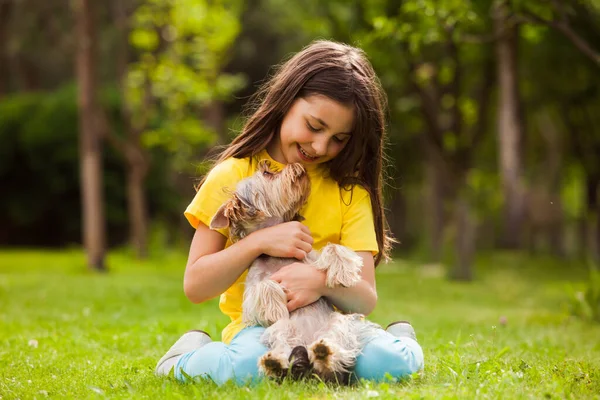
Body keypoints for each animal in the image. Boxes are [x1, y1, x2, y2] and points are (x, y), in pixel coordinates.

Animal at [211, 161, 380, 382]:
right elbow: (263, 286)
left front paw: (344, 272)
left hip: (340, 322)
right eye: (267, 173)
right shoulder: (252, 293)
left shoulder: (311, 258)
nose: (296, 164)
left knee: (335, 346)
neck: (280, 256)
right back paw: (274, 362)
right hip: (279, 329)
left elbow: (332, 248)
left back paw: (323, 353)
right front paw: (274, 307)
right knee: (284, 346)